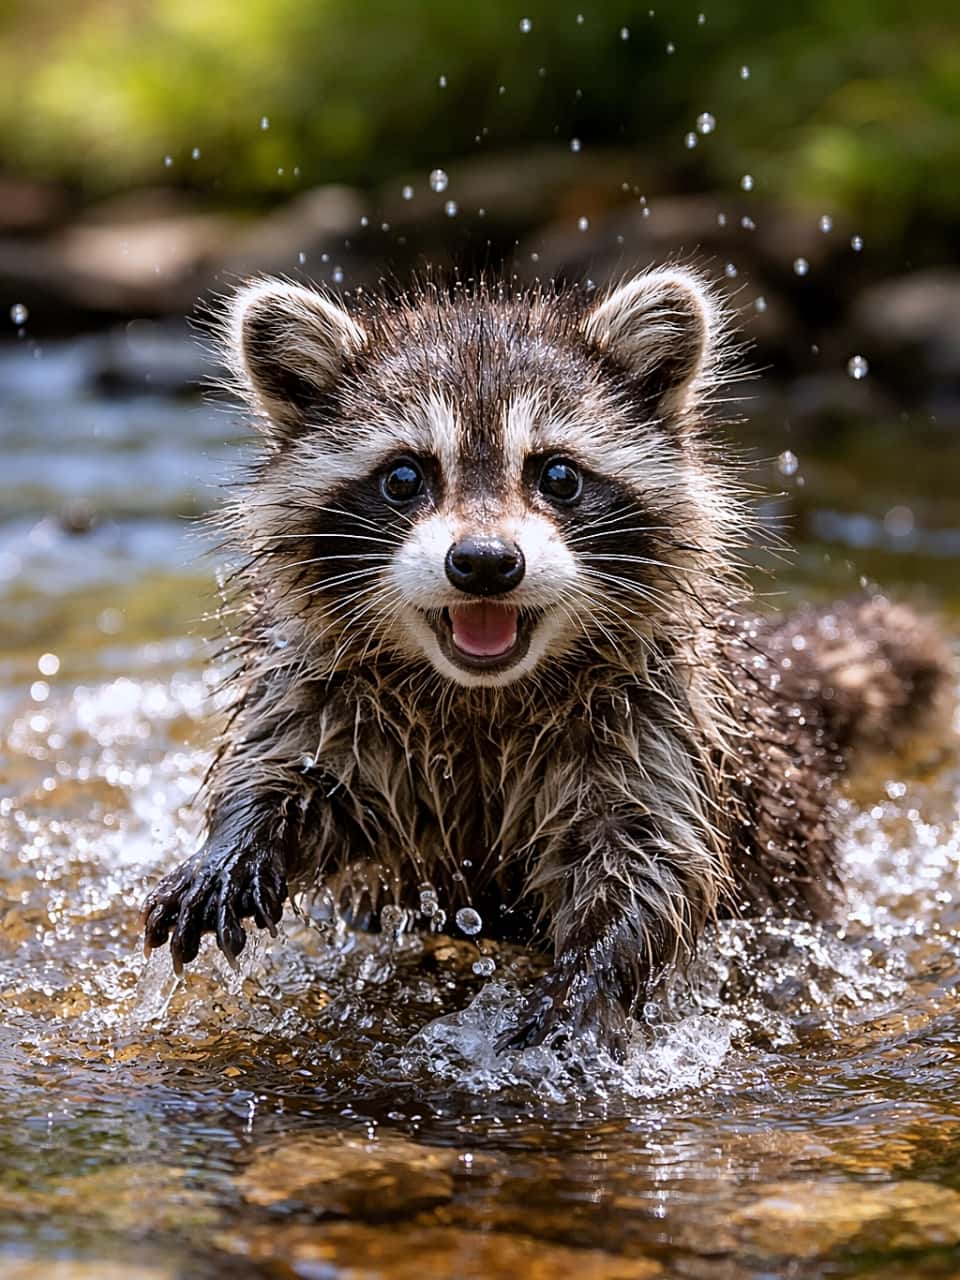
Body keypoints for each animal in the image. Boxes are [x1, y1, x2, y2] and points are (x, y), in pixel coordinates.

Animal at [142, 270, 954, 1054]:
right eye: (404, 477)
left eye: (557, 475)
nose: (484, 563)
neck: (481, 692)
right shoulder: (320, 682)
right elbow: (297, 775)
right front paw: (239, 836)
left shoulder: (658, 714)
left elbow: (651, 862)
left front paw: (592, 973)